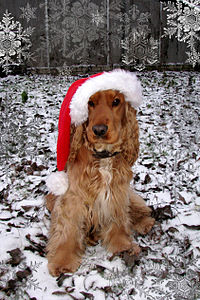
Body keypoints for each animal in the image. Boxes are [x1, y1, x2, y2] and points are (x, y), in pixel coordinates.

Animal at [45, 83, 155, 276]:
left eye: (116, 101)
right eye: (90, 103)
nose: (99, 130)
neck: (102, 157)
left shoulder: (117, 192)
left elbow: (119, 220)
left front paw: (122, 245)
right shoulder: (72, 199)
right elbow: (68, 229)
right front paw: (62, 261)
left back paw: (145, 222)